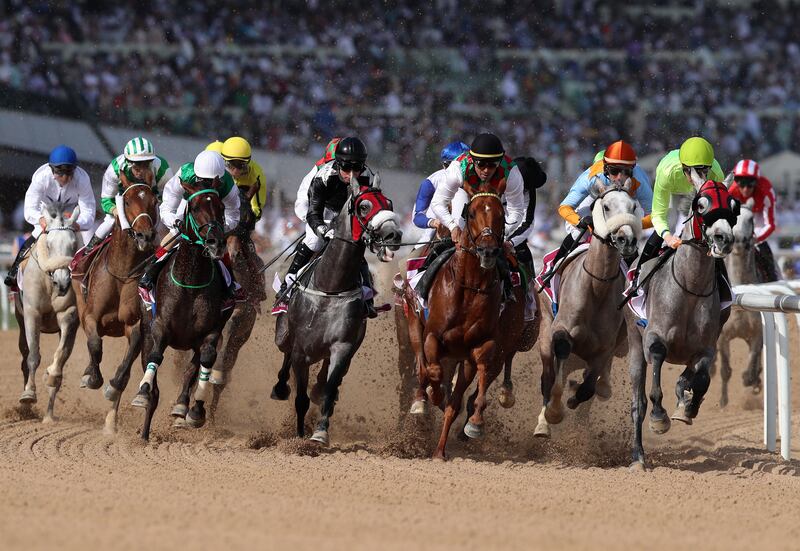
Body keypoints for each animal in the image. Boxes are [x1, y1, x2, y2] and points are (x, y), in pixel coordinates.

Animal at [15, 198, 83, 422]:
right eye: (50, 243)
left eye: (73, 244)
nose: (63, 282)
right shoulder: (31, 314)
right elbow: (33, 356)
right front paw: (28, 395)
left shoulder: (69, 315)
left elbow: (60, 356)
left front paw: (52, 375)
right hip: (20, 320)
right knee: (24, 355)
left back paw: (48, 416)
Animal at [72, 172, 159, 436]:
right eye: (128, 200)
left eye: (154, 200)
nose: (145, 236)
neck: (121, 272)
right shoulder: (90, 317)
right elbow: (95, 345)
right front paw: (91, 378)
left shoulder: (135, 323)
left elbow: (127, 363)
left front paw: (112, 387)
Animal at [536, 179, 640, 438]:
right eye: (606, 206)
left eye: (633, 206)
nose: (626, 240)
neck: (596, 287)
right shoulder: (561, 331)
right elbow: (558, 368)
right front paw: (554, 412)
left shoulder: (604, 348)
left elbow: (588, 388)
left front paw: (575, 397)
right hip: (544, 329)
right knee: (547, 377)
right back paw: (542, 424)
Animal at [624, 170, 736, 468]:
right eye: (702, 205)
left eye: (733, 206)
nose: (723, 238)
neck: (690, 288)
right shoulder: (653, 338)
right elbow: (657, 367)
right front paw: (660, 418)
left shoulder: (705, 348)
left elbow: (701, 379)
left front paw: (687, 408)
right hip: (633, 343)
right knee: (637, 403)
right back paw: (638, 455)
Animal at [712, 201, 764, 408]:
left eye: (751, 218)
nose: (741, 241)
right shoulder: (723, 338)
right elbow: (726, 370)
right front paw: (723, 402)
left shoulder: (756, 334)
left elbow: (753, 362)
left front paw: (751, 379)